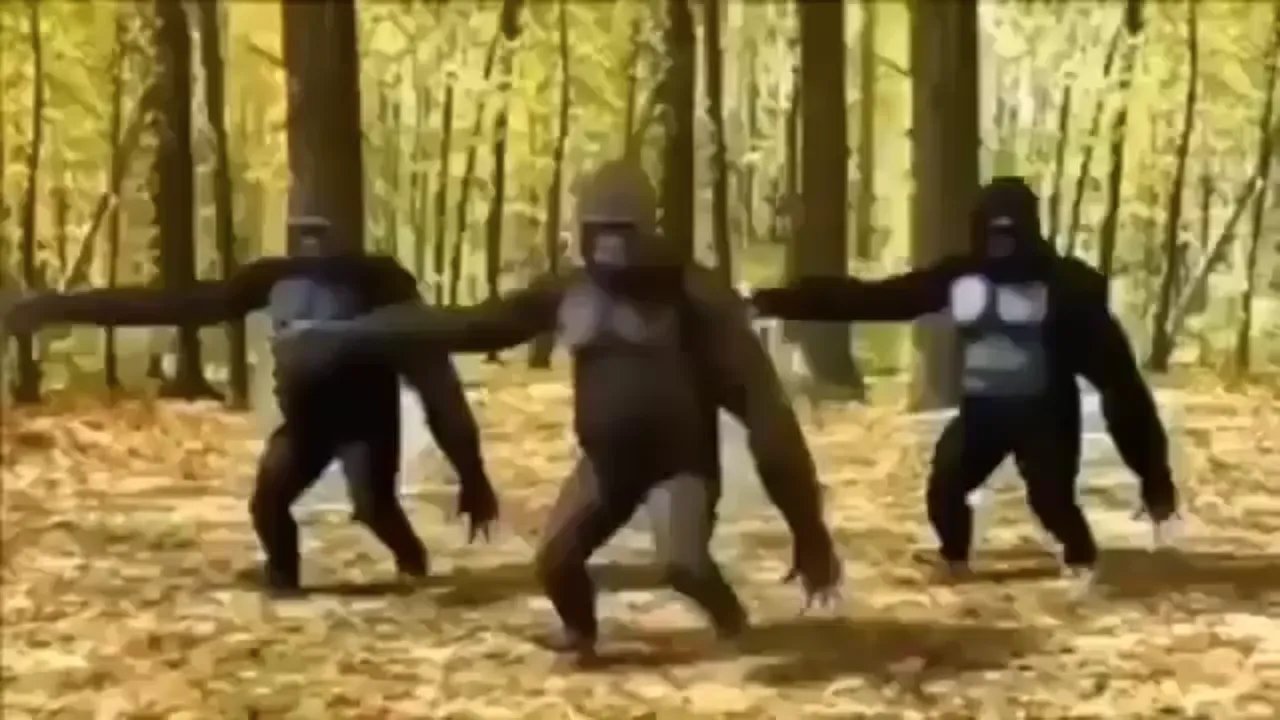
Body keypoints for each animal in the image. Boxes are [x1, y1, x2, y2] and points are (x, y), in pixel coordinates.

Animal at [3, 217, 499, 595]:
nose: (309, 236)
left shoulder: (390, 279)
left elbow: (426, 362)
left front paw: (474, 483)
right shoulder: (260, 275)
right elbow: (193, 302)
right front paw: (38, 307)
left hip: (364, 426)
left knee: (371, 494)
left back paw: (408, 563)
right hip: (304, 436)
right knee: (274, 496)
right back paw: (283, 574)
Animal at [279, 161, 842, 664]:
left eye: (623, 227)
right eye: (601, 226)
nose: (609, 246)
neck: (626, 280)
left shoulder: (710, 300)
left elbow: (760, 404)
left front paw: (814, 550)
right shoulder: (550, 291)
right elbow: (471, 325)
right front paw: (324, 338)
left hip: (683, 473)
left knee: (685, 560)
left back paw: (732, 625)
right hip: (603, 483)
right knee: (559, 554)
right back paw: (578, 638)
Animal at [751, 177, 1177, 583]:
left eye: (1011, 221)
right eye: (993, 221)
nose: (1001, 237)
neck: (1012, 270)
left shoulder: (1081, 291)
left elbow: (1115, 379)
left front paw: (1158, 490)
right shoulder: (946, 273)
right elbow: (883, 297)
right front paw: (766, 300)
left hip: (1047, 426)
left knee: (1050, 493)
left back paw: (1081, 560)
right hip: (983, 428)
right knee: (953, 480)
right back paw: (954, 556)